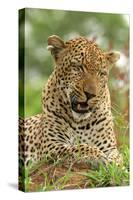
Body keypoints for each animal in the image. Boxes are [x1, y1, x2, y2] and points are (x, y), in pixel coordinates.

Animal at [18, 34, 122, 169]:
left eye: (101, 73)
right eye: (78, 67)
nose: (91, 94)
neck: (80, 122)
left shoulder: (109, 147)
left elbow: (118, 158)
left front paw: (115, 165)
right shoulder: (51, 146)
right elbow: (78, 147)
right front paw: (98, 156)